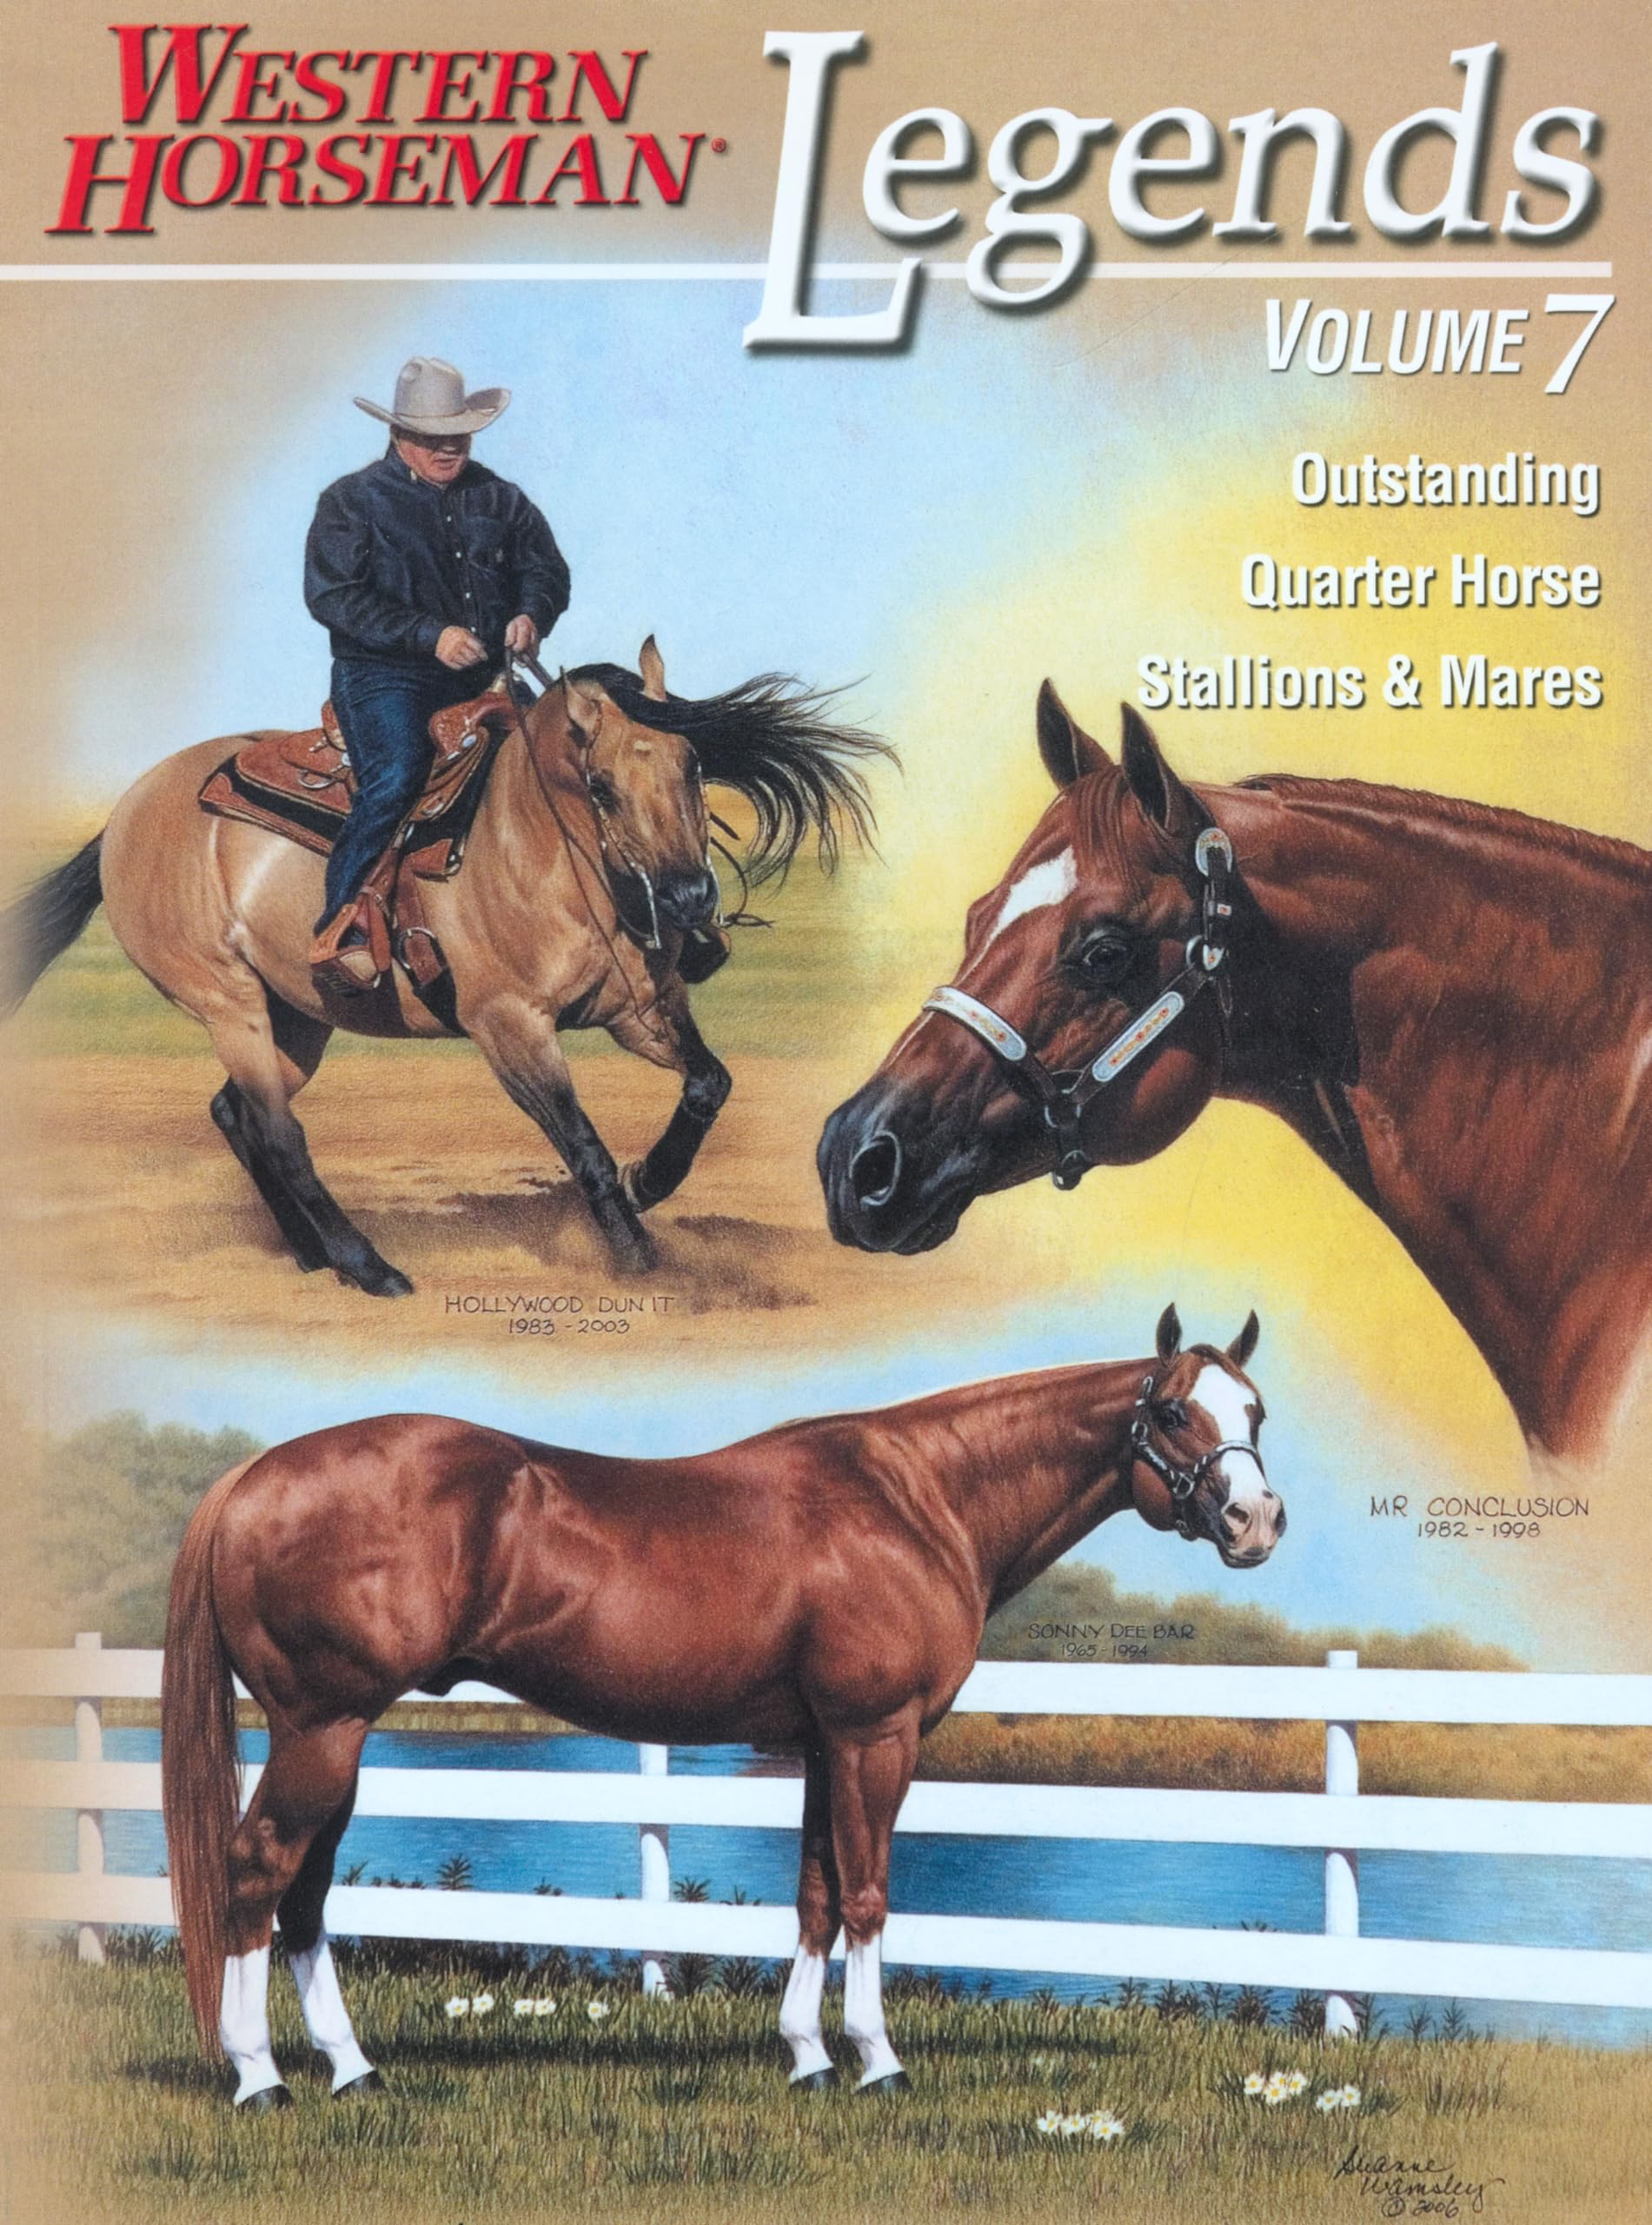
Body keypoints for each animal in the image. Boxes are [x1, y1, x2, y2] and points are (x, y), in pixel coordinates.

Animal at [5, 639, 888, 1293]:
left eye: (693, 766)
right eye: (601, 785)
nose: (686, 898)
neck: (535, 849)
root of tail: (126, 814)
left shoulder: (638, 1010)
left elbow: (709, 1084)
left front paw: (652, 1181)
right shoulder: (509, 1028)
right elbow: (583, 1145)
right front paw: (637, 1256)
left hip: (297, 1018)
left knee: (238, 1114)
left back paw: (311, 1255)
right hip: (229, 1005)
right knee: (281, 1134)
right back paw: (370, 1267)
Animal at [161, 1302, 1278, 2107]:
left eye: (1256, 1411)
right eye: (1172, 1412)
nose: (1254, 1520)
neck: (916, 1499)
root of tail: (251, 1478)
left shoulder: (822, 1745)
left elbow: (816, 1895)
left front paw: (808, 2057)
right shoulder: (877, 1736)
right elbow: (867, 1894)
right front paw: (877, 2061)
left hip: (336, 1740)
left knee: (304, 1896)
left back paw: (351, 2070)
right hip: (321, 1731)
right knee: (256, 1872)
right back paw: (259, 2077)